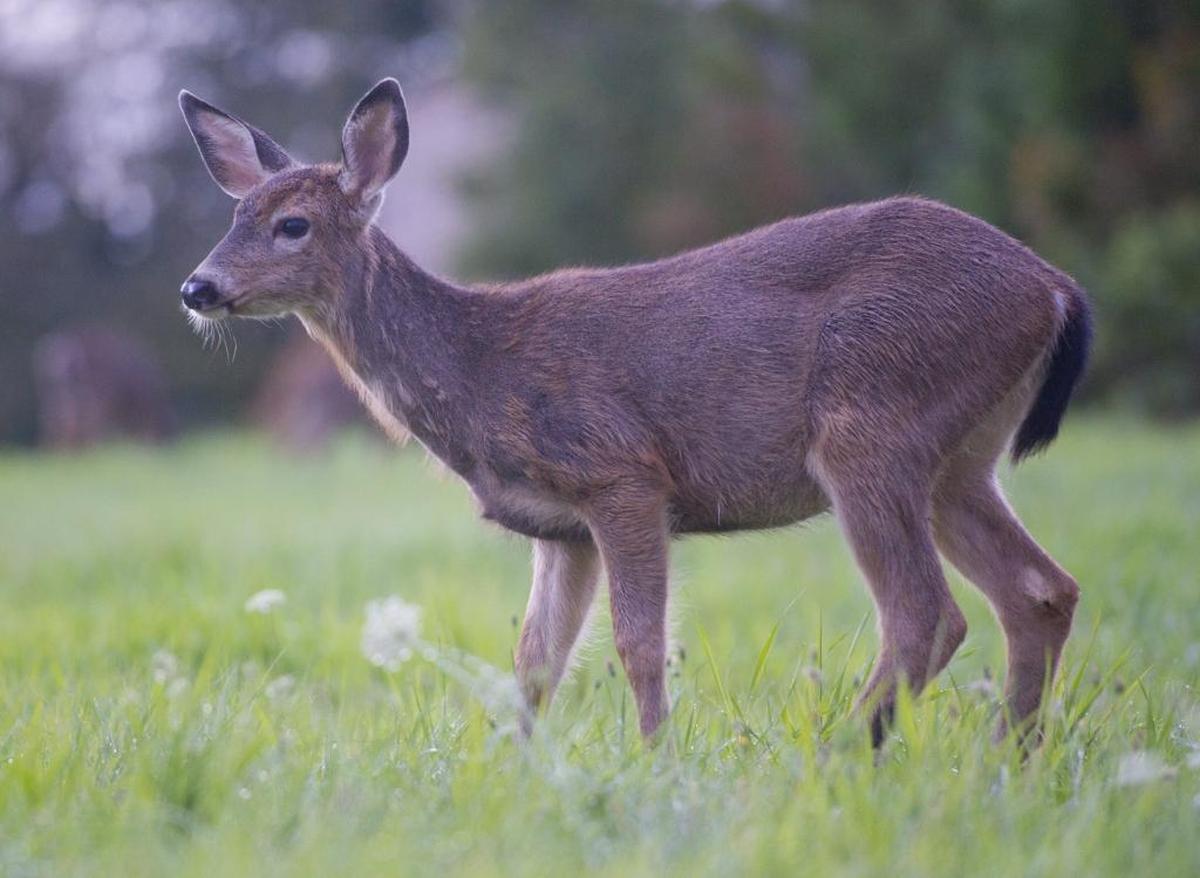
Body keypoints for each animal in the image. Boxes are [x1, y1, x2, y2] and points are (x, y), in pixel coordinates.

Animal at [178, 79, 1091, 746]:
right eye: (233, 214)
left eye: (293, 224)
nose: (198, 286)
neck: (481, 368)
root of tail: (1055, 288)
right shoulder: (560, 527)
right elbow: (535, 658)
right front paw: (518, 765)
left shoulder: (621, 472)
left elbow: (637, 643)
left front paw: (656, 757)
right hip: (961, 456)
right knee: (1040, 590)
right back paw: (1006, 757)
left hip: (872, 421)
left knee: (927, 613)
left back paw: (844, 755)